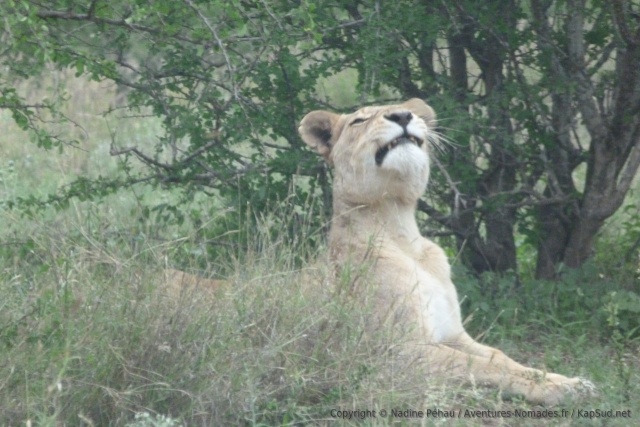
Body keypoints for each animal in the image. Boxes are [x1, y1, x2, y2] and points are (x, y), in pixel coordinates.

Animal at [298, 98, 593, 405]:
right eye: (359, 121)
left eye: (406, 109)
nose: (403, 115)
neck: (401, 229)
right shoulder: (397, 351)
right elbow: (480, 365)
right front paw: (557, 389)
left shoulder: (453, 333)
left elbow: (499, 357)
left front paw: (570, 381)